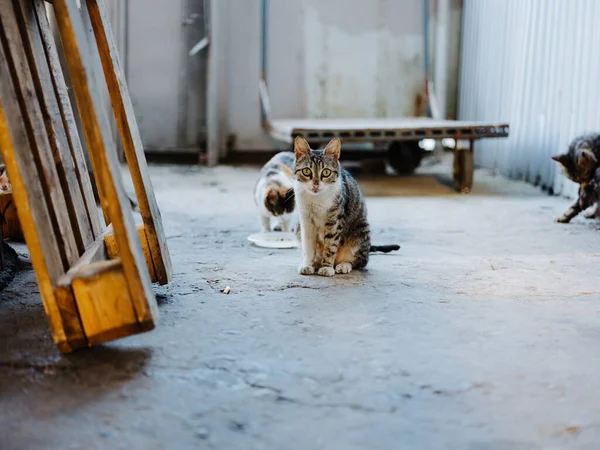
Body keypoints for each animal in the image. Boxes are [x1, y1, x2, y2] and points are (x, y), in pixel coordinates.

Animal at [292, 135, 398, 276]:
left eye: (326, 172)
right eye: (306, 171)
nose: (315, 185)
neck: (316, 199)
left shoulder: (334, 219)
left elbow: (330, 244)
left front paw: (327, 267)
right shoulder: (306, 221)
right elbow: (308, 245)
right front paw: (307, 264)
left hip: (360, 231)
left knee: (360, 261)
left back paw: (343, 265)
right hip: (297, 227)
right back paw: (316, 263)